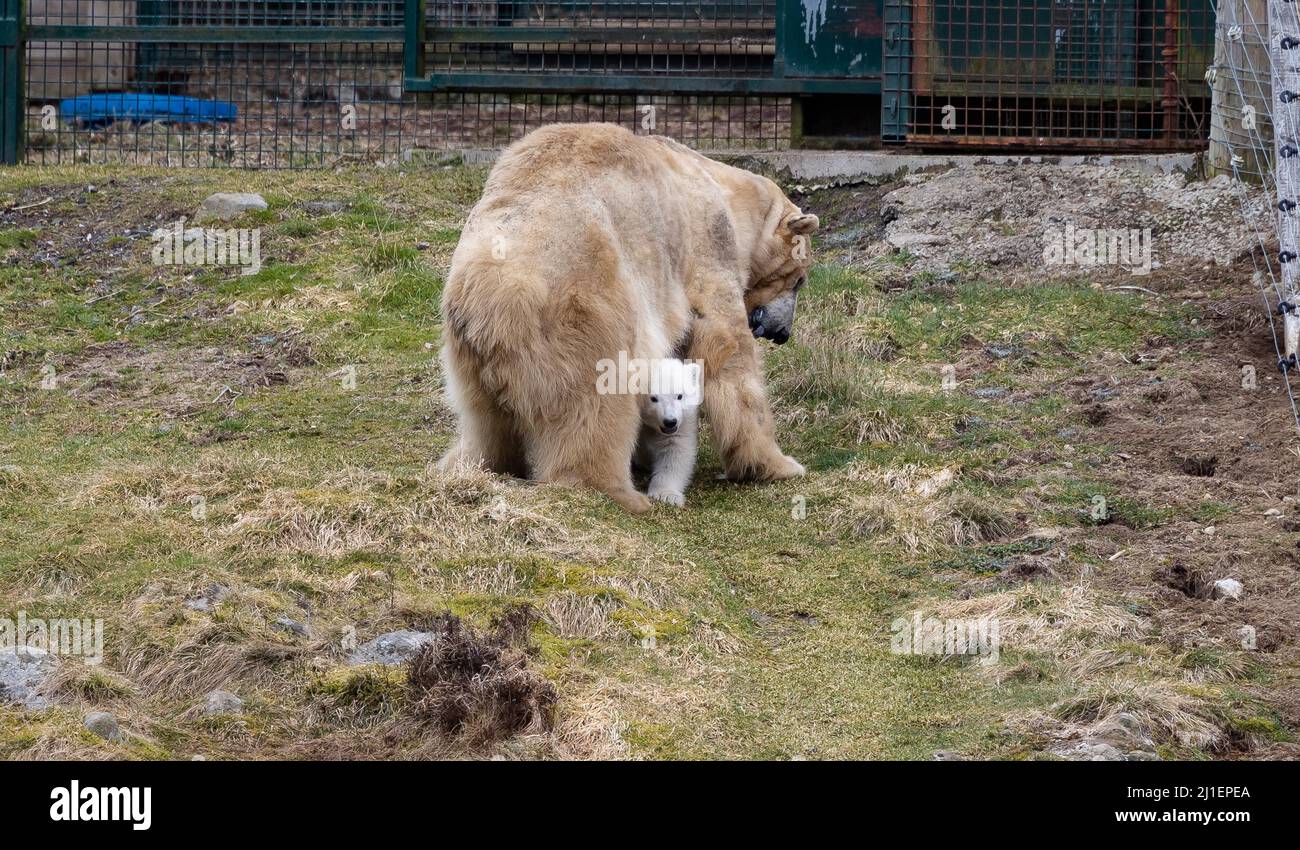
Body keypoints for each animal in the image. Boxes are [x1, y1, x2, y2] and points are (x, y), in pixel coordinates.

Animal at [441, 123, 816, 512]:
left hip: (469, 349)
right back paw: (616, 491)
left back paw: (472, 464)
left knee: (484, 423)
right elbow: (726, 344)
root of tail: (494, 288)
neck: (716, 183)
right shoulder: (706, 245)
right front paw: (779, 464)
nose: (782, 333)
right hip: (586, 313)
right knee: (596, 406)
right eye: (799, 279)